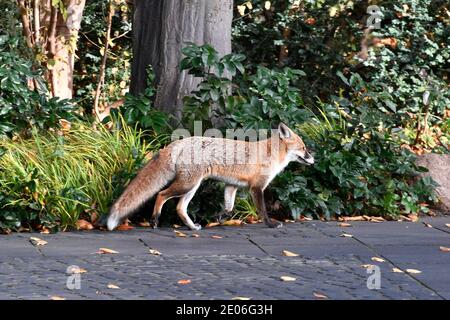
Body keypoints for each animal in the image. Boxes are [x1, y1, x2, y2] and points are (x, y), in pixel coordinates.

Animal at [107, 122, 314, 230]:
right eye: (304, 148)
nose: (313, 160)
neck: (270, 153)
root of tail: (179, 142)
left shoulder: (232, 186)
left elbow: (229, 208)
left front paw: (218, 218)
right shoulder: (257, 187)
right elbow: (262, 210)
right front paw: (271, 224)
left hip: (192, 186)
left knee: (180, 208)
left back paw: (192, 227)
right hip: (187, 184)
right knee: (161, 194)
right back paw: (155, 220)